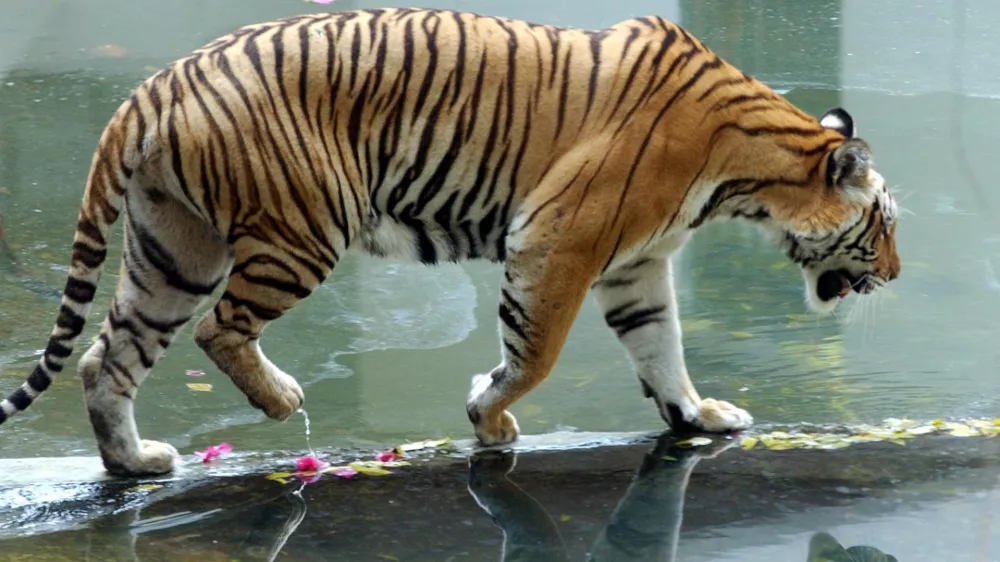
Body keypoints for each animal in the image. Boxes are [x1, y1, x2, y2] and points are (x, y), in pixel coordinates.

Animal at [0, 8, 900, 477]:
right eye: (886, 226)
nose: (894, 274)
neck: (749, 175)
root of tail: (152, 85)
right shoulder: (558, 242)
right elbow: (534, 352)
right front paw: (488, 417)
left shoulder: (639, 265)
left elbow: (661, 348)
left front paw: (698, 416)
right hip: (302, 229)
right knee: (222, 330)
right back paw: (280, 399)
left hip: (173, 251)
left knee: (105, 358)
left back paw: (135, 461)